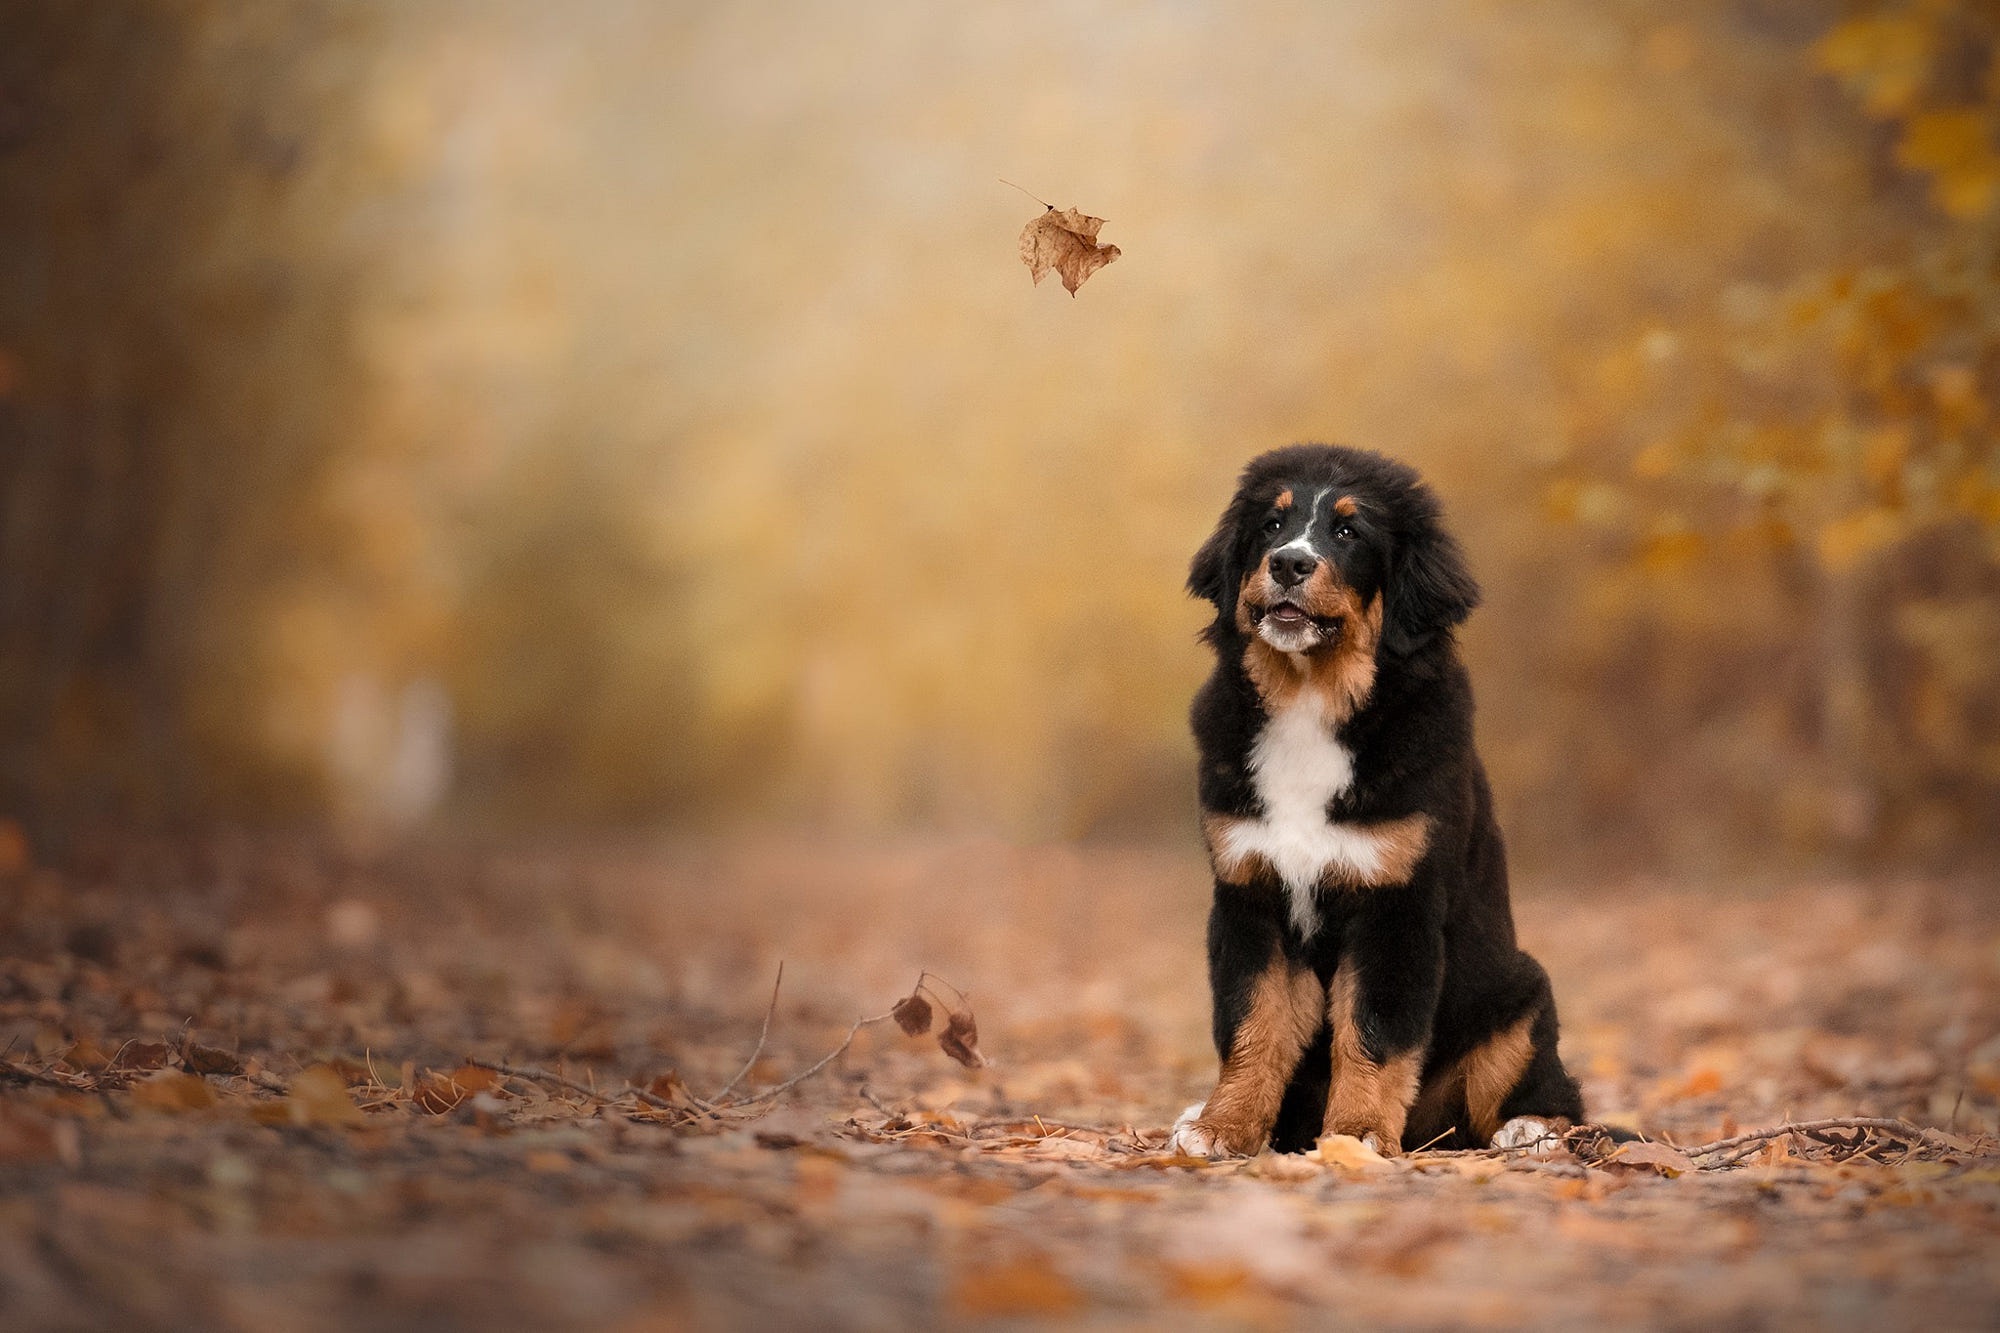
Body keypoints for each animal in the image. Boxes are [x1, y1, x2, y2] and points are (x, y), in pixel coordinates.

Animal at [1168, 444, 1584, 1152]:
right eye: (1271, 526)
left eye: (1348, 532)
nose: (1289, 563)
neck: (1309, 699)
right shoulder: (1250, 894)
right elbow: (1252, 1027)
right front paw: (1224, 1126)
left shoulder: (1395, 903)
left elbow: (1373, 1034)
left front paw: (1356, 1134)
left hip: (1520, 1000)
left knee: (1558, 1100)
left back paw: (1531, 1130)